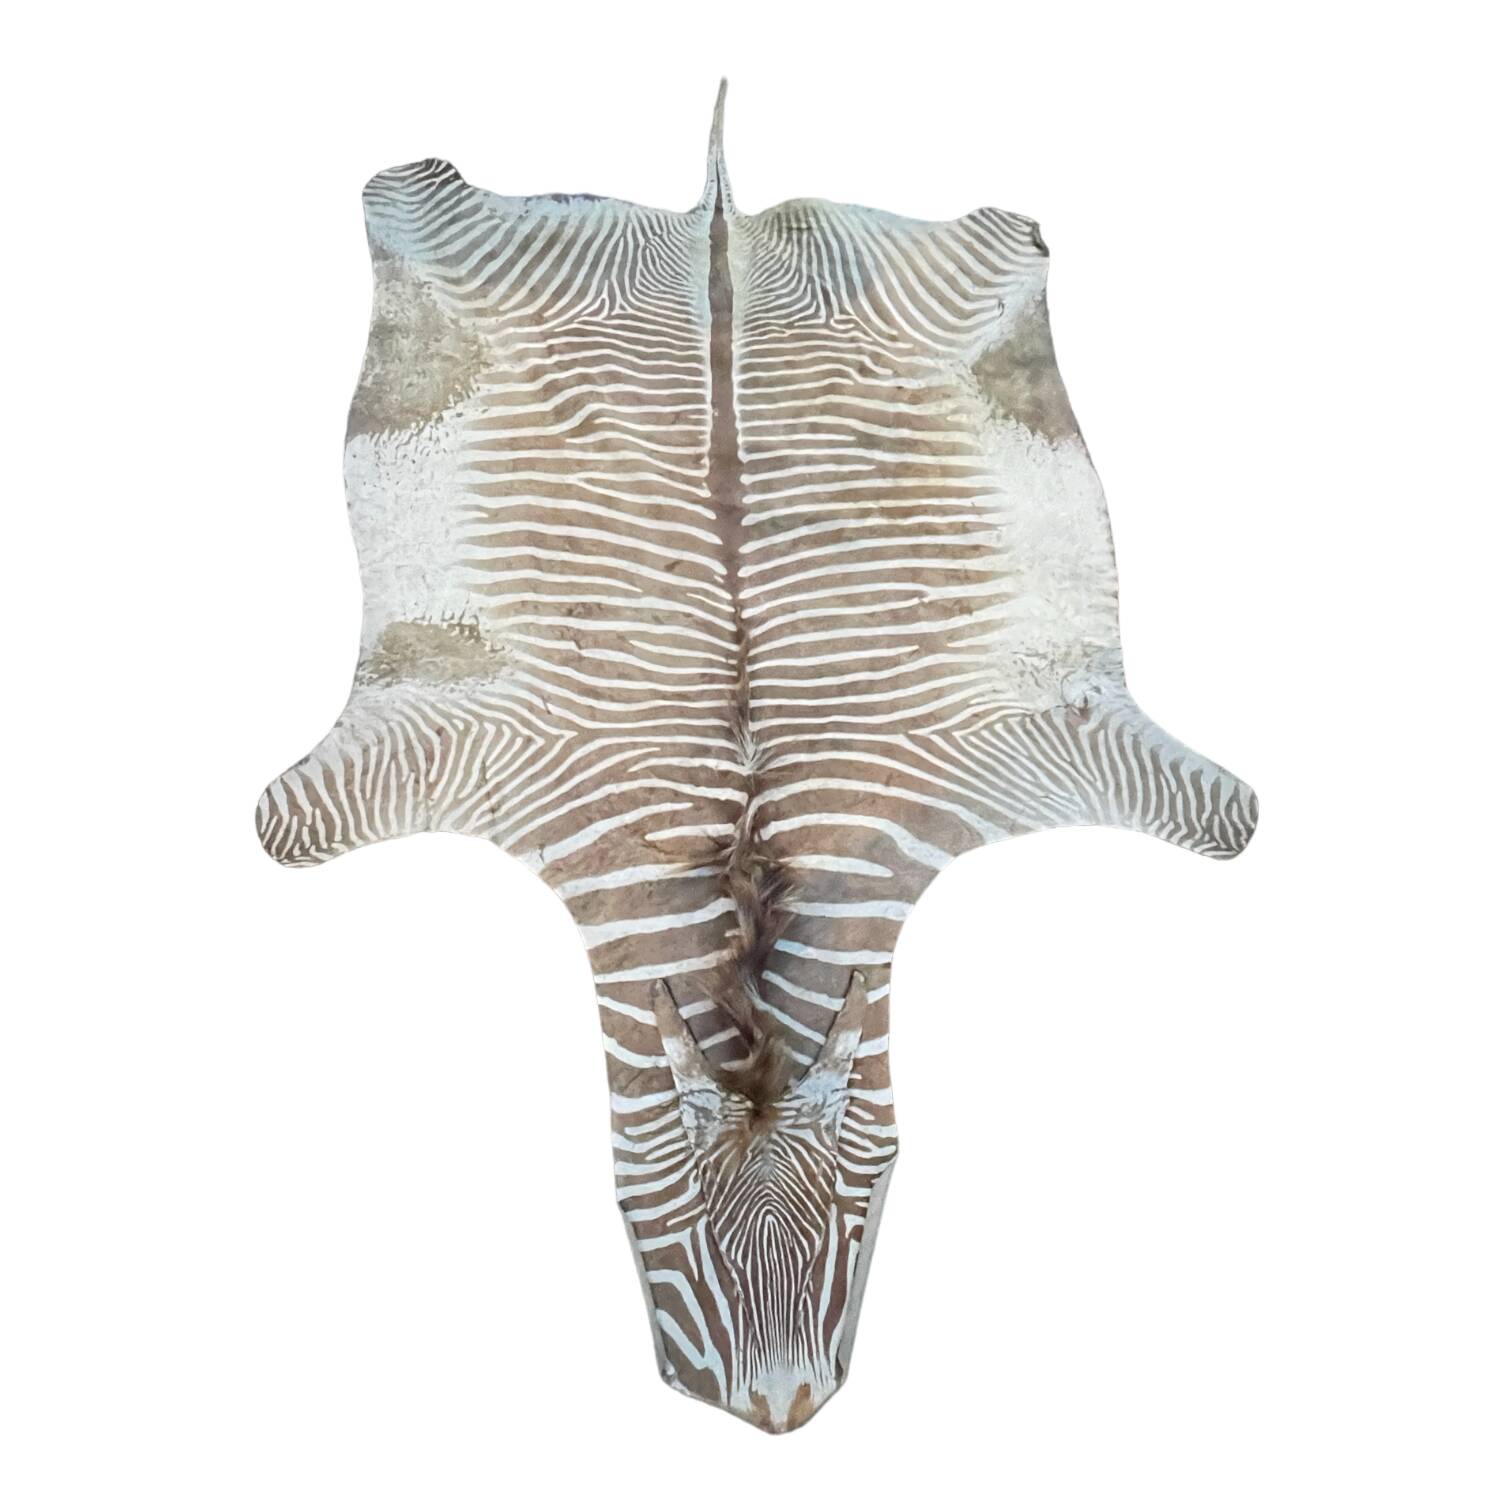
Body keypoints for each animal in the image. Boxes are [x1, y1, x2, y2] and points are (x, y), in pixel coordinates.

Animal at [255, 82, 1257, 1433]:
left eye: (867, 1210)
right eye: (649, 1233)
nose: (777, 1407)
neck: (747, 843)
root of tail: (719, 219)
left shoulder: (1073, 744)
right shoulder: (402, 764)